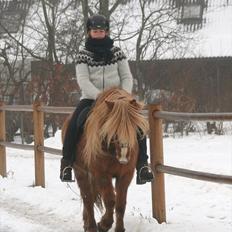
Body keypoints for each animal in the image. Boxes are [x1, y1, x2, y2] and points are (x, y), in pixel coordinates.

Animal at [61, 87, 149, 232]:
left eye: (134, 128)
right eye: (114, 130)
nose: (124, 157)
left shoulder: (125, 175)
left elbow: (120, 203)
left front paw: (119, 228)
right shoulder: (101, 174)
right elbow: (110, 200)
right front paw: (104, 224)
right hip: (81, 172)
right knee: (87, 198)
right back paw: (91, 226)